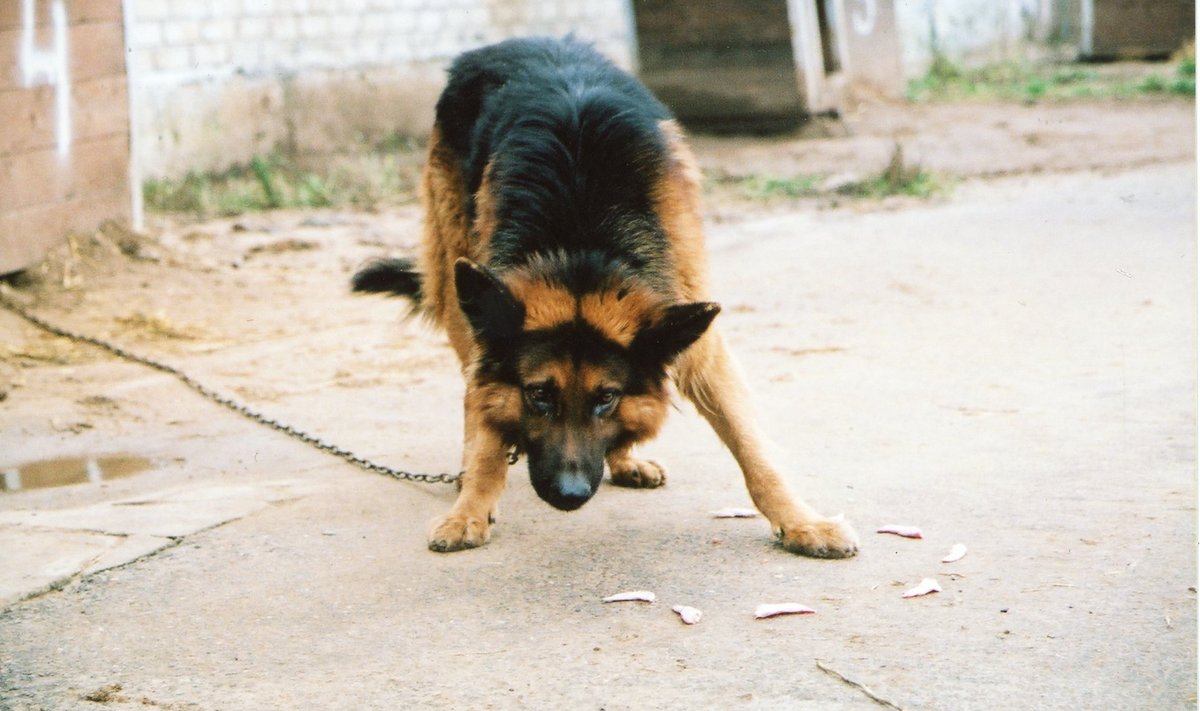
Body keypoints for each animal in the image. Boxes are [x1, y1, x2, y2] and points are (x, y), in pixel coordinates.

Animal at [350, 37, 859, 562]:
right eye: (538, 395)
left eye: (607, 398)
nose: (569, 495)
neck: (582, 245)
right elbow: (487, 428)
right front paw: (471, 507)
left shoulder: (699, 340)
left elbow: (752, 447)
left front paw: (801, 522)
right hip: (459, 291)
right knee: (473, 398)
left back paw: (624, 460)